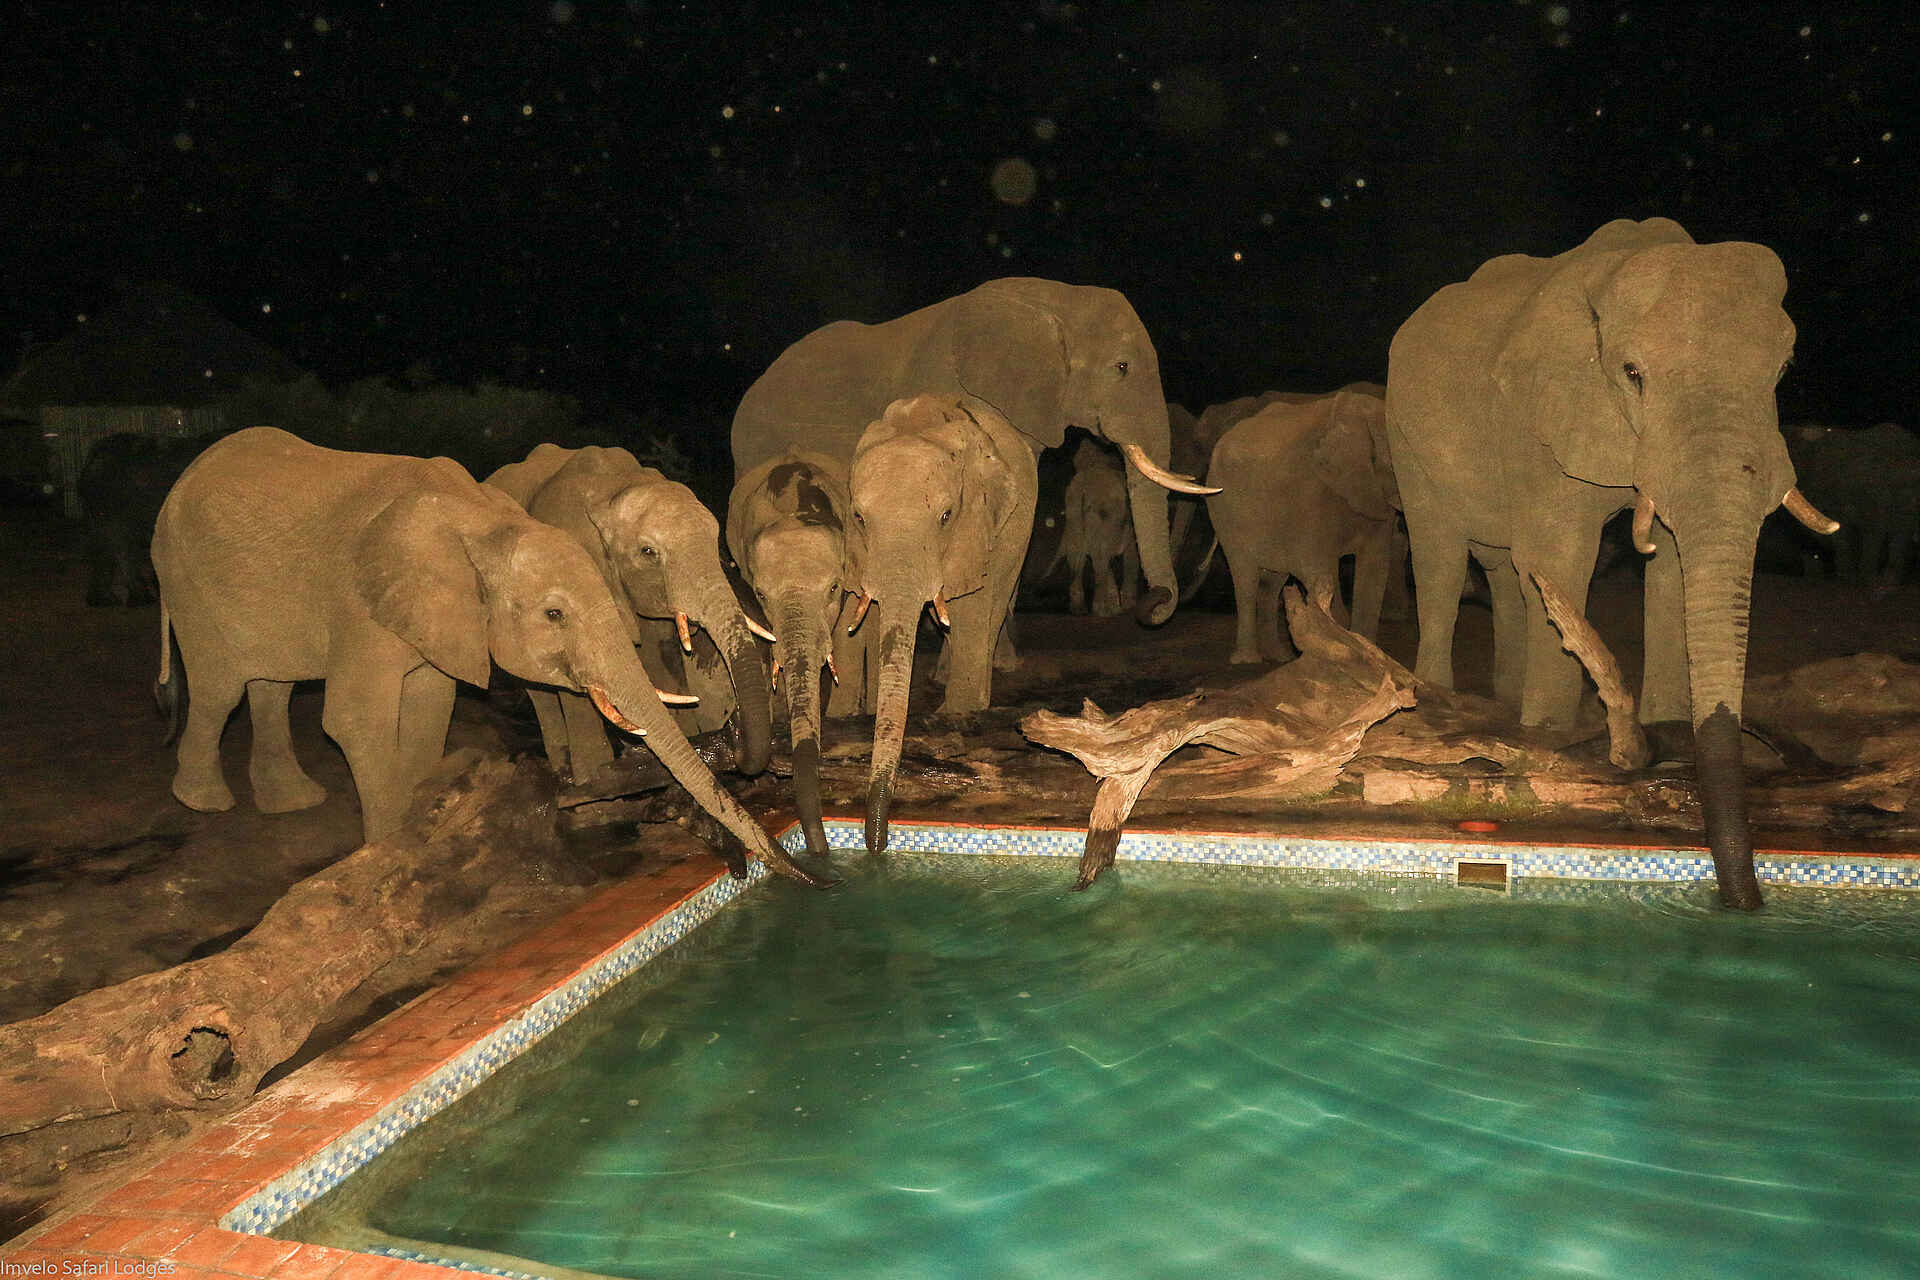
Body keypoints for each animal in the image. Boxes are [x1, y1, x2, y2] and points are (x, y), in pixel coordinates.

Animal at [485, 444, 774, 785]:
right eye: (648, 552)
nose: (733, 729)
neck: (612, 487)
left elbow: (657, 653)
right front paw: (593, 779)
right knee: (538, 688)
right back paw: (563, 771)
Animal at [846, 394, 1040, 853]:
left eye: (947, 516)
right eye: (859, 518)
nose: (876, 842)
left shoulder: (978, 524)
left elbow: (971, 604)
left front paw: (957, 715)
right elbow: (875, 613)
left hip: (1018, 530)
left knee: (994, 601)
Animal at [1207, 382, 1402, 663]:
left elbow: (1375, 570)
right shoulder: (1309, 495)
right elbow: (1319, 570)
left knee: (1272, 582)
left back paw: (1278, 656)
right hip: (1224, 512)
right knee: (1245, 579)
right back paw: (1247, 659)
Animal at [1385, 216, 1837, 910]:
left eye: (1783, 368)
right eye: (1631, 372)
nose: (1744, 903)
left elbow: (1671, 568)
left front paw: (1663, 732)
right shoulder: (1541, 419)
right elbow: (1559, 555)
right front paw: (1550, 737)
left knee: (1501, 566)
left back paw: (1504, 703)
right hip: (1405, 435)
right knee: (1441, 555)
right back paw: (1439, 700)